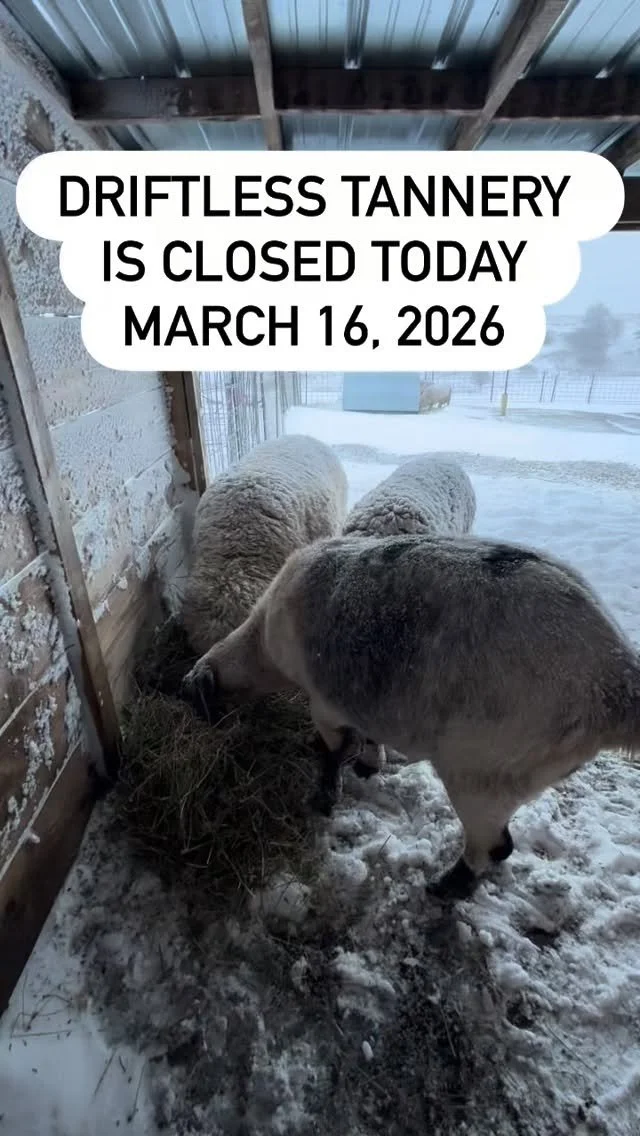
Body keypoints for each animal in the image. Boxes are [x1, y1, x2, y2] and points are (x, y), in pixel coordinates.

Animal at [183, 532, 640, 899]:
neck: (262, 645)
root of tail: (615, 684)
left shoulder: (324, 703)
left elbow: (332, 753)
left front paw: (324, 798)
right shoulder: (359, 701)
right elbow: (366, 738)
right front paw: (368, 765)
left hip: (485, 766)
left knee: (494, 846)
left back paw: (445, 889)